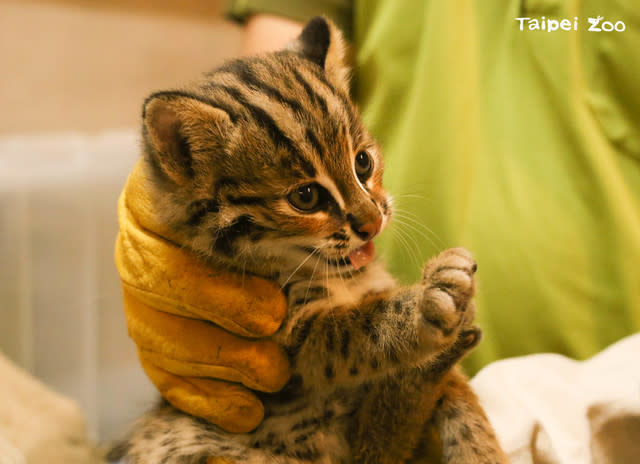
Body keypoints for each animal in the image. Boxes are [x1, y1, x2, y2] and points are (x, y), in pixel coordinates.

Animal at [111, 16, 510, 464]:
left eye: (362, 162)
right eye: (305, 197)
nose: (373, 222)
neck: (344, 277)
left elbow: (462, 399)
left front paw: (482, 450)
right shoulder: (293, 337)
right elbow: (359, 328)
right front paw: (424, 304)